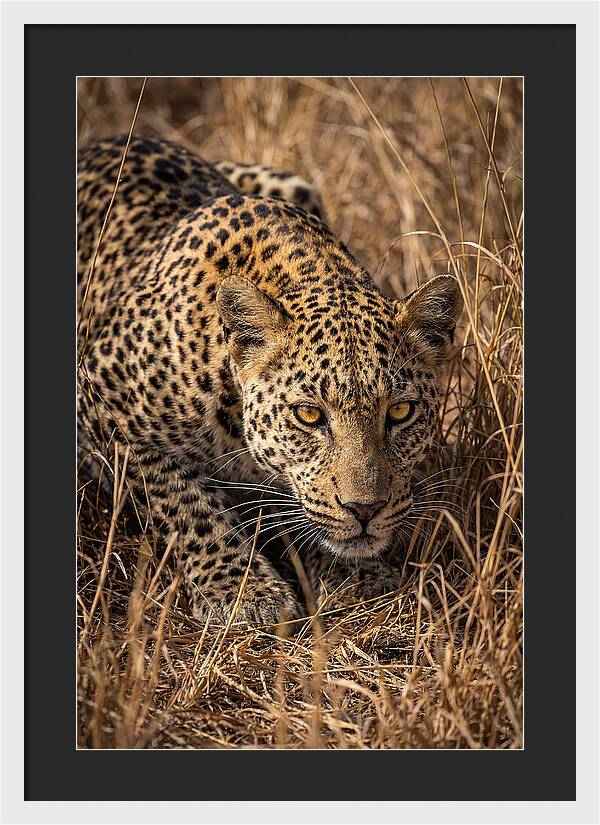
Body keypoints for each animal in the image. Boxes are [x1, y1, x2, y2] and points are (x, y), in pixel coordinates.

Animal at [77, 134, 461, 626]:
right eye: (309, 415)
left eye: (400, 411)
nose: (365, 510)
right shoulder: (101, 398)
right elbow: (183, 501)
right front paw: (243, 591)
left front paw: (357, 577)